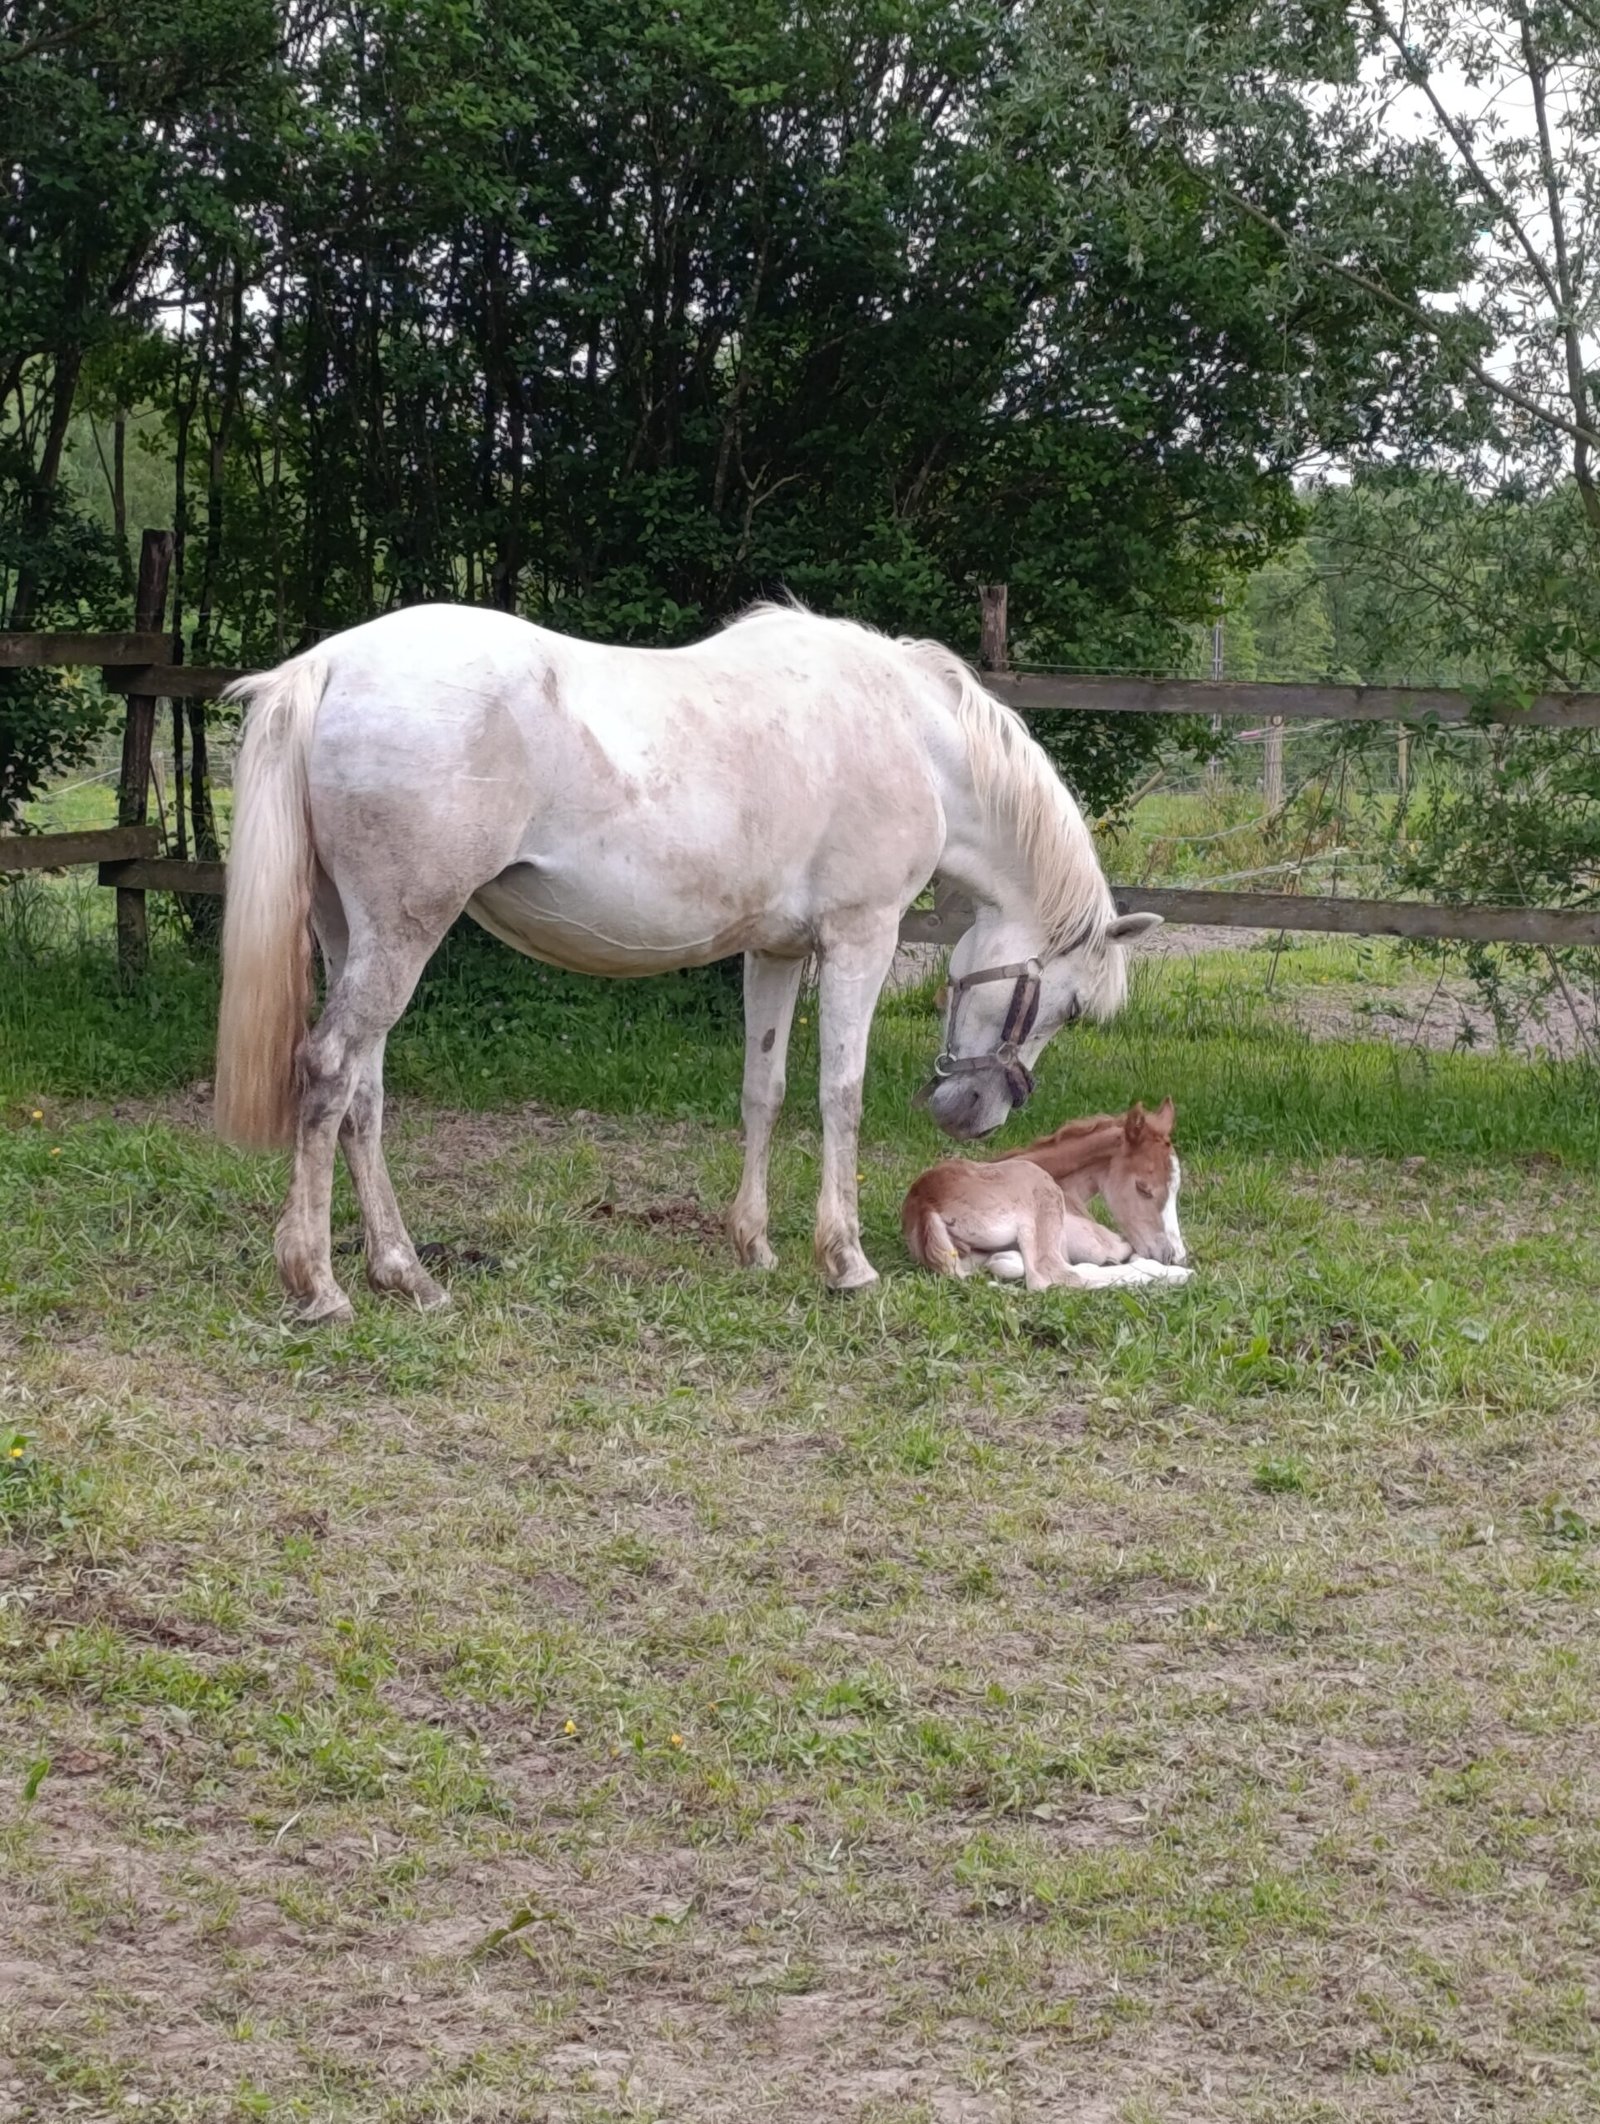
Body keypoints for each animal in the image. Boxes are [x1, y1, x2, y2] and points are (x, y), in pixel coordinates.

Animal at [902, 1099, 1188, 1290]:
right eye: (1143, 1188)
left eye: (1176, 1189)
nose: (1175, 1255)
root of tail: (924, 1202)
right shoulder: (1098, 1240)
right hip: (1043, 1193)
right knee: (1049, 1275)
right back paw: (1179, 1274)